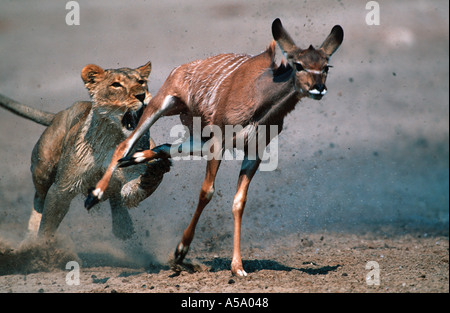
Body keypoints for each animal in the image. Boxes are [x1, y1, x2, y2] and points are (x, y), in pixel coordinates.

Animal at [86, 18, 342, 274]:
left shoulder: (253, 151)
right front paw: (180, 252)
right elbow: (206, 191)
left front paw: (238, 267)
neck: (260, 102)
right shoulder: (219, 143)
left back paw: (136, 159)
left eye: (326, 66)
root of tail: (183, 67)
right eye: (298, 65)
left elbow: (239, 201)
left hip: (199, 133)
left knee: (165, 146)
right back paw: (94, 195)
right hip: (161, 105)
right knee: (124, 144)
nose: (318, 88)